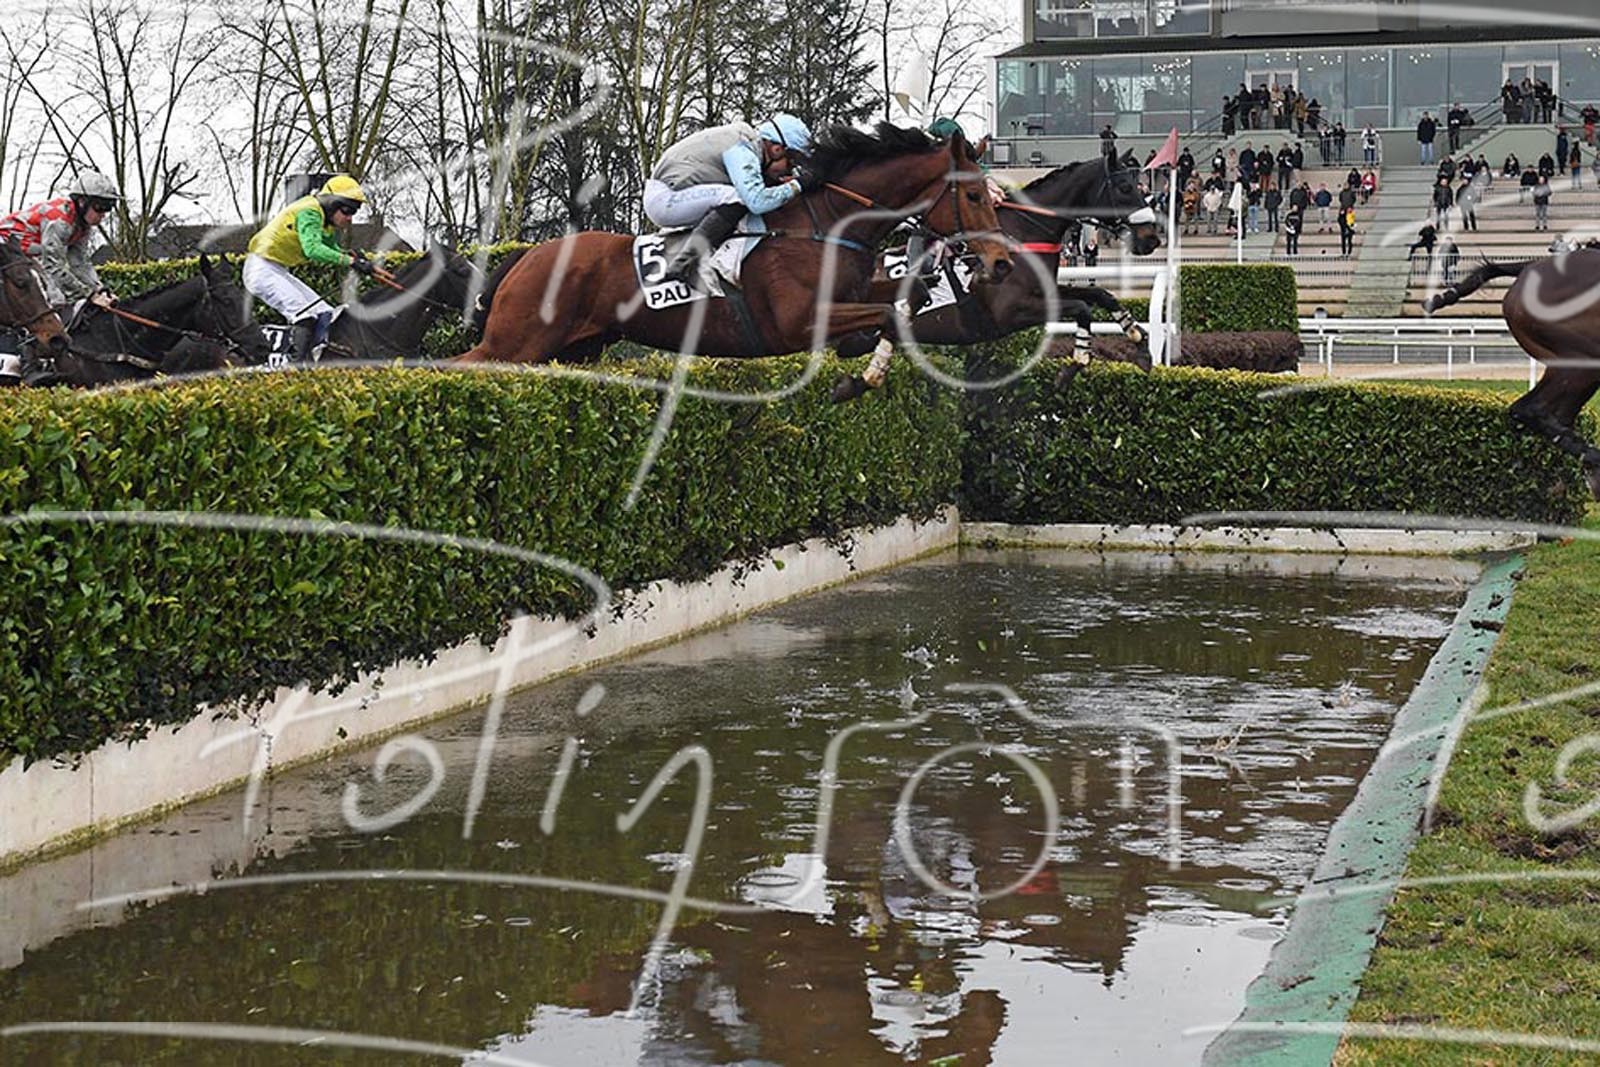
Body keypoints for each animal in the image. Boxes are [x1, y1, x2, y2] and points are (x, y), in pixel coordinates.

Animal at [458, 124, 1011, 375]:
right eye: (974, 196)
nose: (1001, 262)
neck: (827, 226)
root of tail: (527, 256)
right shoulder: (797, 323)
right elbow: (883, 312)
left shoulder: (853, 291)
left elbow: (896, 297)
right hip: (514, 344)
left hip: (572, 350)